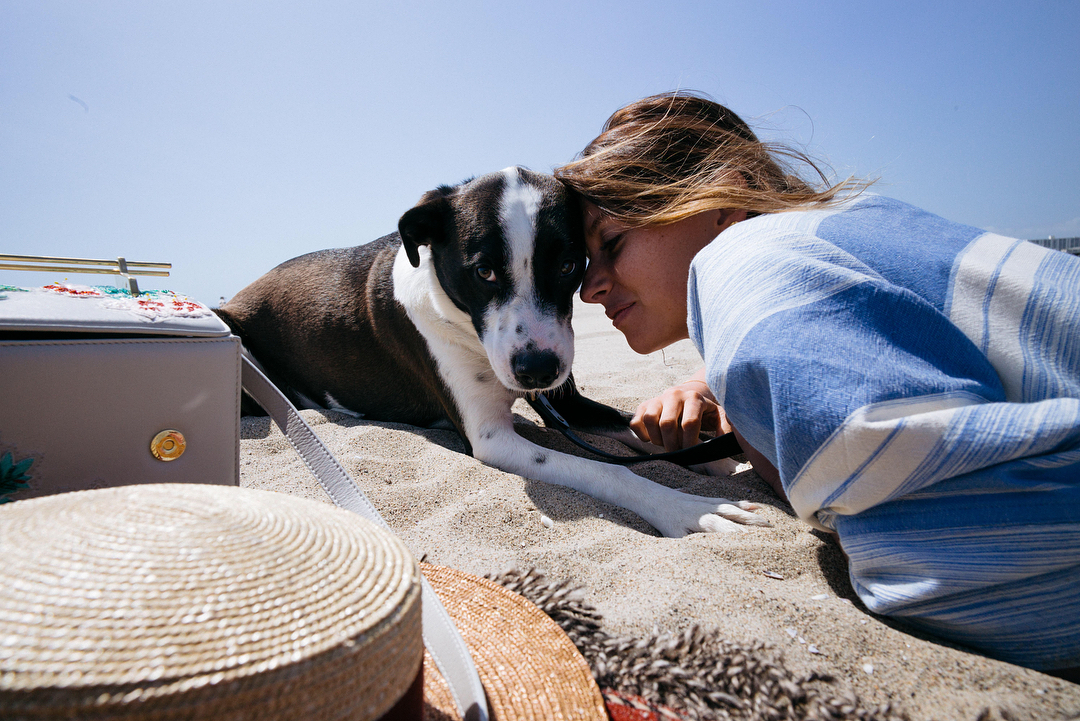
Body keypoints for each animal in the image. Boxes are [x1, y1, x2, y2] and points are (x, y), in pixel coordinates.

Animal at [214, 167, 764, 535]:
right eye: (484, 271)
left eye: (568, 264)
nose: (536, 370)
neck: (460, 324)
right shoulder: (492, 439)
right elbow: (607, 470)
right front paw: (688, 509)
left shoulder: (565, 401)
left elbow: (625, 425)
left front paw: (707, 458)